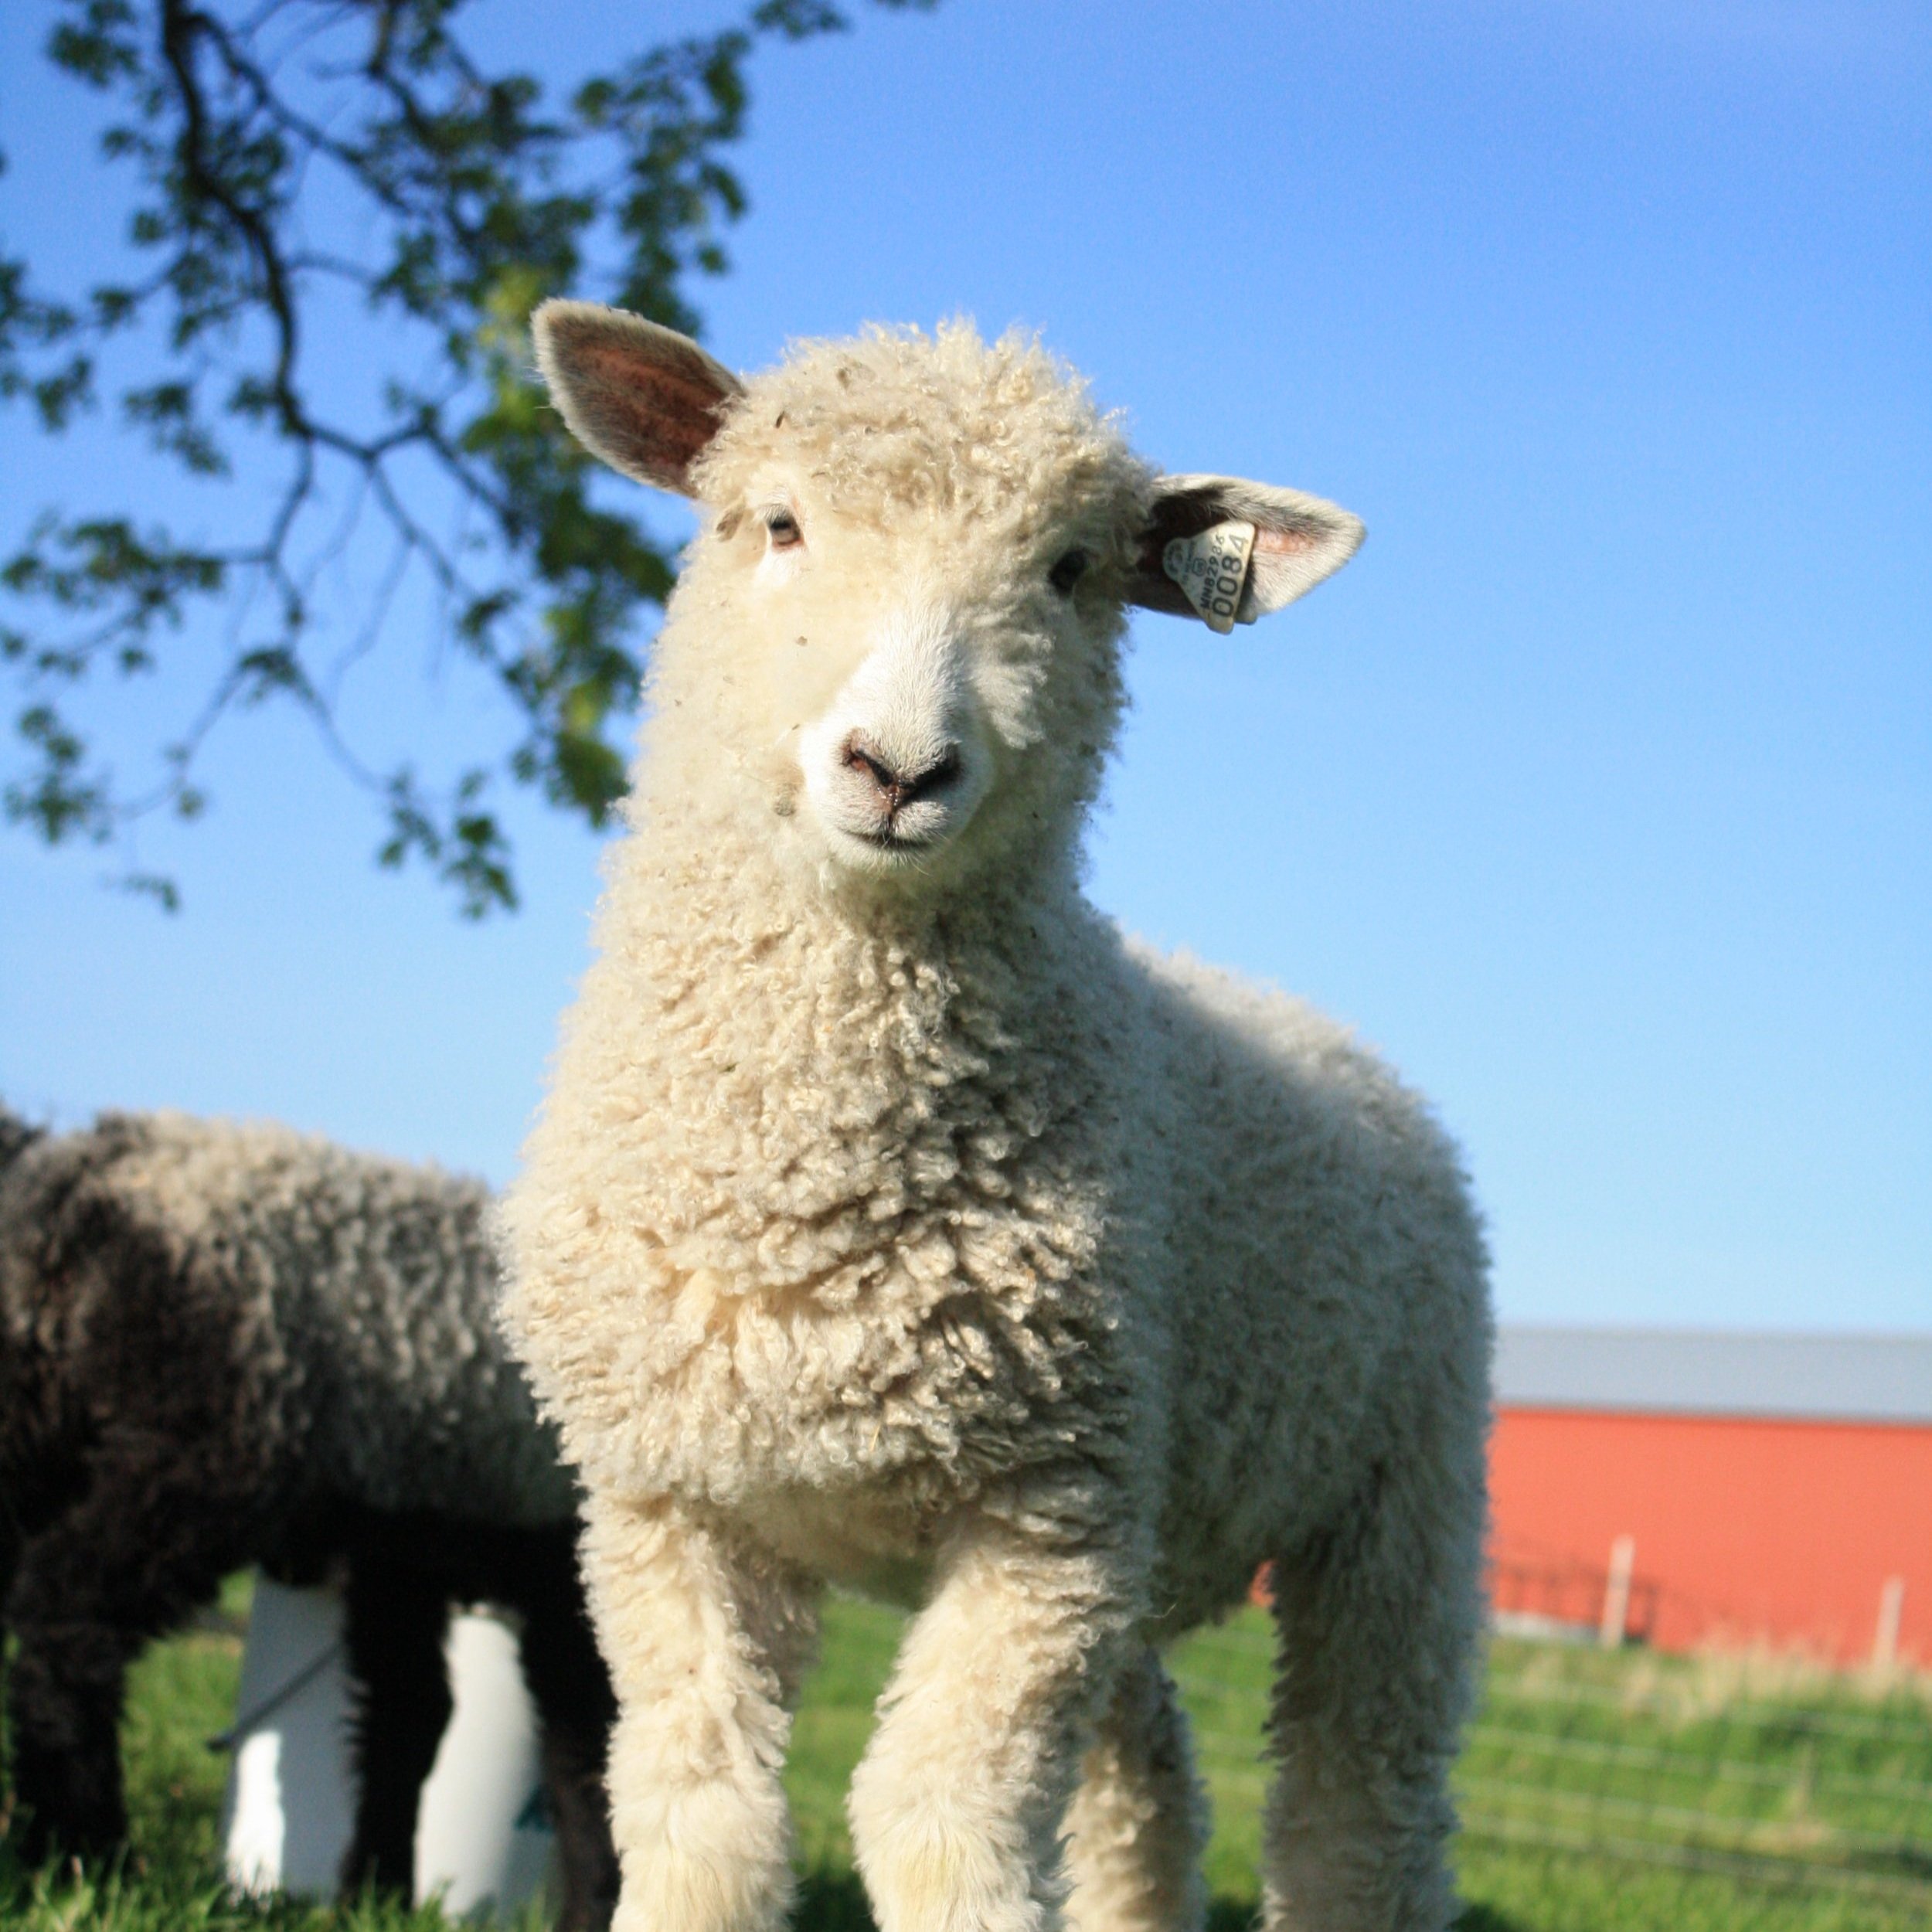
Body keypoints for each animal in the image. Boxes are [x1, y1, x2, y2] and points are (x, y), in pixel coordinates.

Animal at [0, 1105, 618, 1929]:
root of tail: (81, 1178)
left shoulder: (406, 1544)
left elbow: (408, 1718)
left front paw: (374, 1893)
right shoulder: (558, 1566)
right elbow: (588, 1746)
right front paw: (598, 1904)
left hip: (41, 1432)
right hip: (209, 1449)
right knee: (66, 1619)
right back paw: (85, 1854)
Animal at [500, 304, 1492, 1932]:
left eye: (1070, 572)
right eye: (773, 521)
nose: (898, 769)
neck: (808, 1194)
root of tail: (1301, 1014)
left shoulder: (1045, 1509)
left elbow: (937, 1824)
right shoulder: (669, 1507)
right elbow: (702, 1818)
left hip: (1399, 1491)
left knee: (1361, 1809)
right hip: (1146, 1531)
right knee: (1146, 1774)